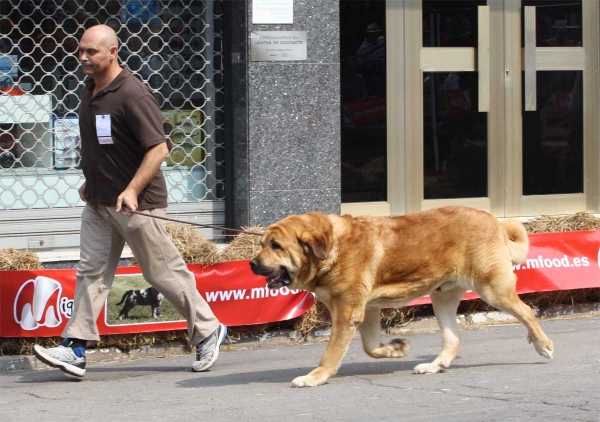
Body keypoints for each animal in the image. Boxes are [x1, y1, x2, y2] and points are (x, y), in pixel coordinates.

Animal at [248, 206, 552, 388]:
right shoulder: (366, 310)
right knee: (453, 338)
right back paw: (434, 366)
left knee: (526, 311)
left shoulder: (346, 312)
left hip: (493, 289)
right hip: (442, 297)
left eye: (276, 245)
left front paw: (315, 377)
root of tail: (492, 219)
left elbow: (331, 353)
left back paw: (542, 344)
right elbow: (370, 347)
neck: (332, 246)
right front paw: (395, 349)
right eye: (262, 244)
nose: (251, 263)